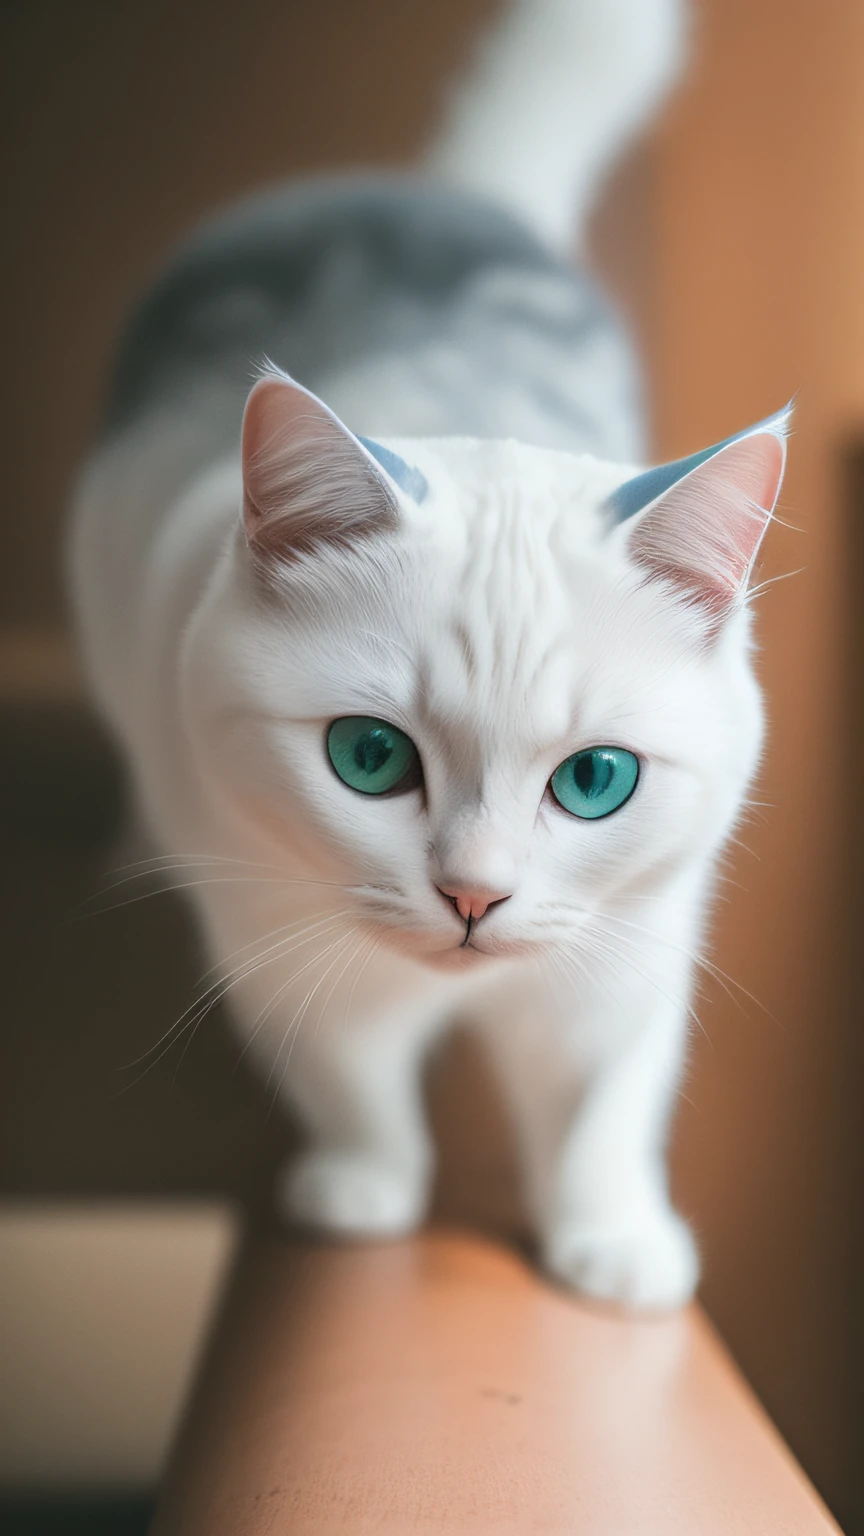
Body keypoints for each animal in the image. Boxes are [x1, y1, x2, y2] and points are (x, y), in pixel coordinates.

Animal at [68, 0, 780, 1308]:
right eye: (367, 757)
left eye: (597, 780)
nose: (474, 897)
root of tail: (415, 191)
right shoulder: (266, 932)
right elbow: (347, 1074)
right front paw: (364, 1190)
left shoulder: (633, 946)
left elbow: (606, 1102)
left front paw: (617, 1244)